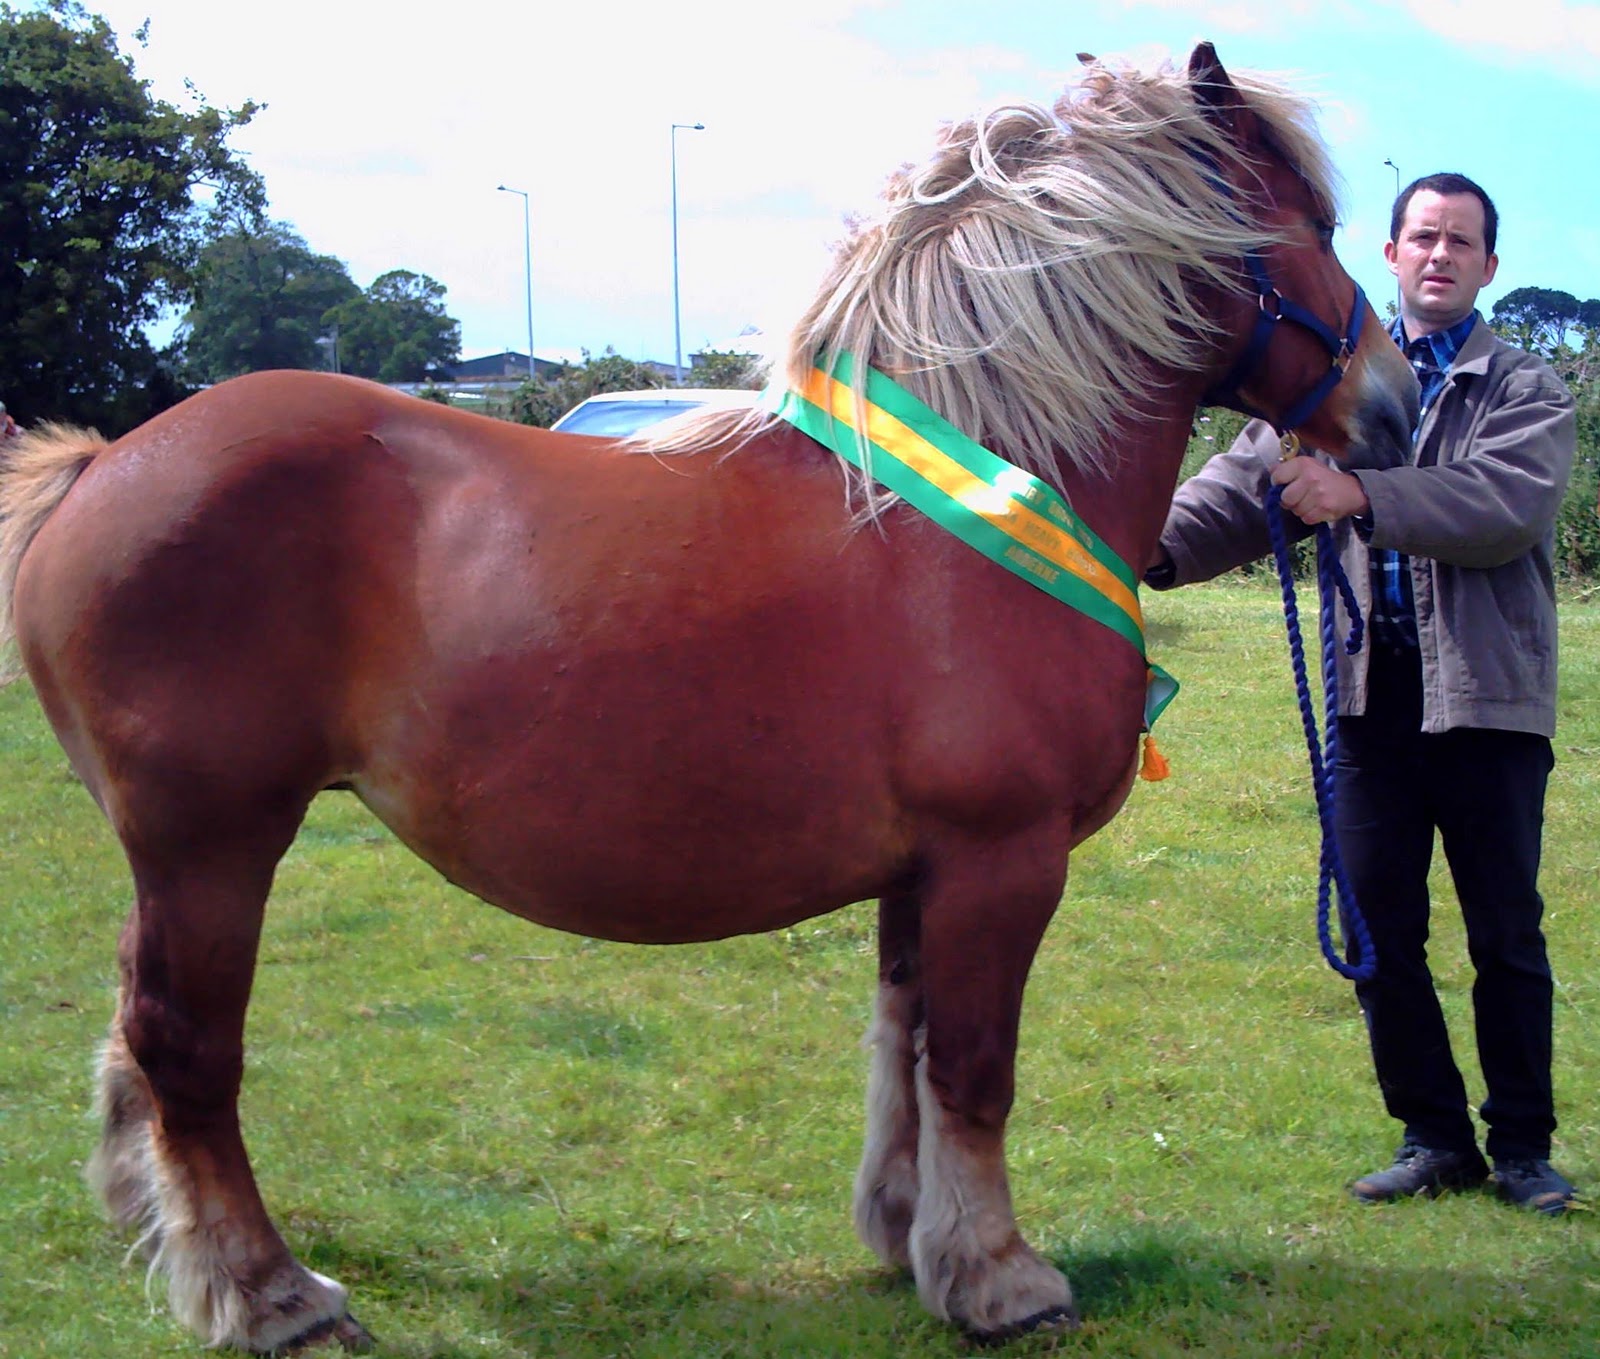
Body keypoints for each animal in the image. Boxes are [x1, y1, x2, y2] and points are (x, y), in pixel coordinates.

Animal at [0, 43, 1416, 1353]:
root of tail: (103, 466)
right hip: (214, 842)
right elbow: (973, 1066)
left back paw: (152, 1222)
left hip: (176, 853)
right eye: (1314, 225)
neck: (976, 495)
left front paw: (909, 1237)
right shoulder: (1000, 860)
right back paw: (265, 1291)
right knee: (186, 1045)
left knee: (139, 1032)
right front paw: (1002, 1280)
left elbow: (902, 1051)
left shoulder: (924, 871)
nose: (1394, 409)